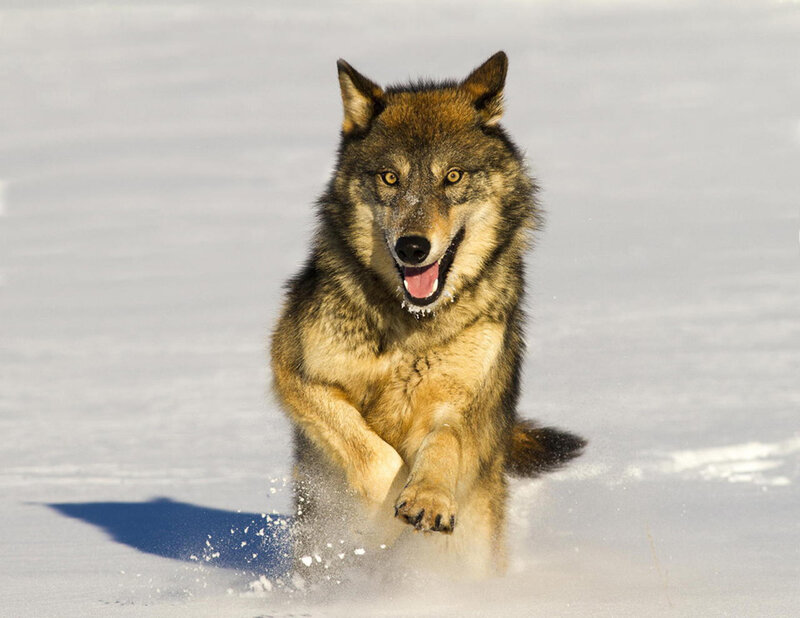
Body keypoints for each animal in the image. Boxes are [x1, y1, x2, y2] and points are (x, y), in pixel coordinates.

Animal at [270, 51, 584, 580]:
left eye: (452, 177)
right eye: (390, 178)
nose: (413, 248)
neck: (412, 326)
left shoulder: (461, 405)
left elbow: (444, 446)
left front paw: (427, 501)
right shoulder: (295, 373)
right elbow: (370, 453)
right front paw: (382, 515)